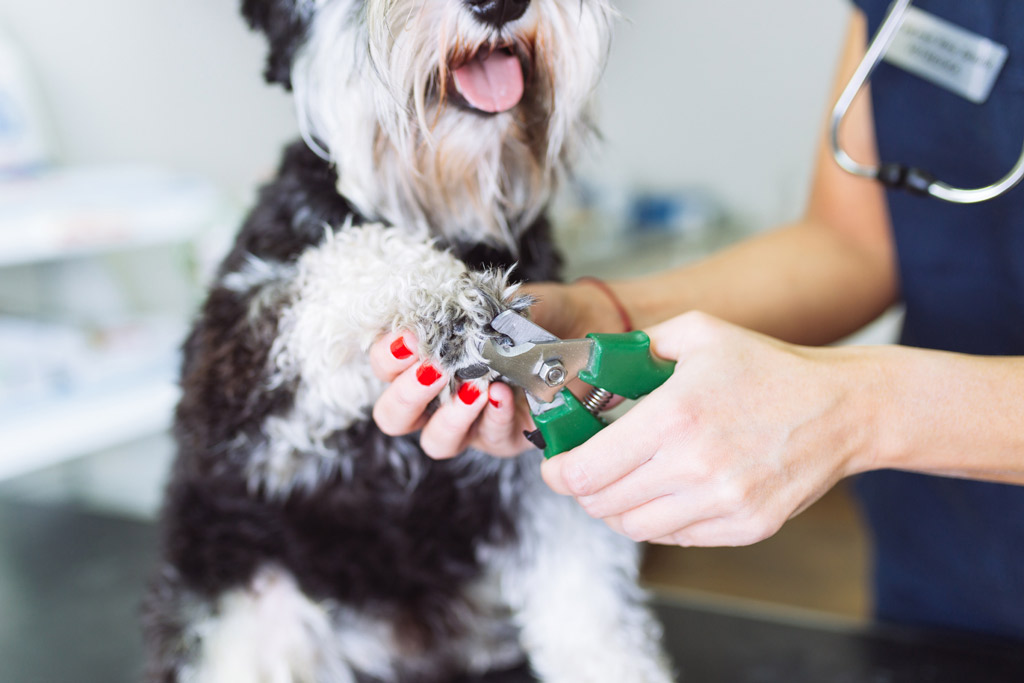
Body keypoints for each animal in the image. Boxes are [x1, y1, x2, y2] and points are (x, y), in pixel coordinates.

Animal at [142, 2, 671, 679]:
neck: (444, 210)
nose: (498, 7)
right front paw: (446, 299)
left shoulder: (543, 487)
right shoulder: (235, 383)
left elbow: (593, 617)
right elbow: (348, 257)